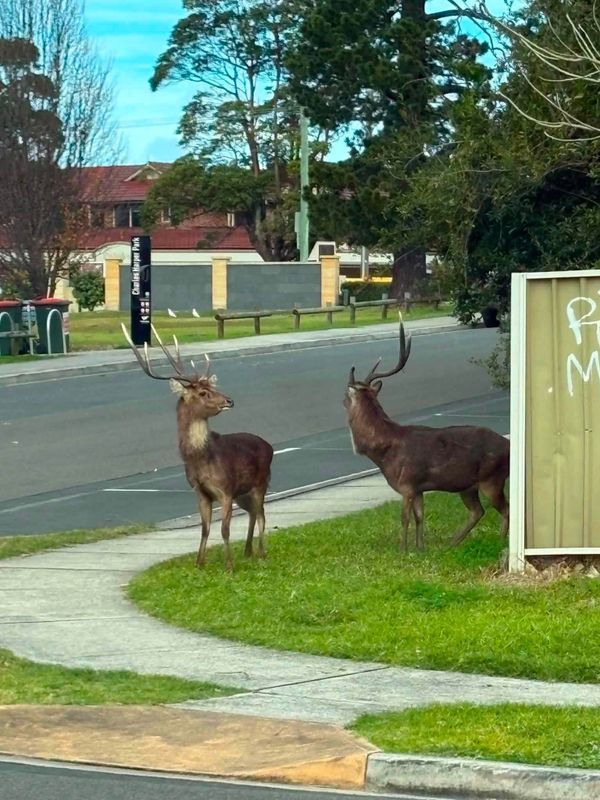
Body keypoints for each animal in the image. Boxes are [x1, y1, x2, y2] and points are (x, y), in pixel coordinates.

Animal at [122, 324, 273, 571]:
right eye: (203, 392)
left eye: (212, 386)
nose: (229, 401)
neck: (201, 459)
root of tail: (268, 445)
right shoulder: (200, 491)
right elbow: (205, 528)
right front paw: (199, 563)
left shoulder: (225, 489)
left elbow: (224, 529)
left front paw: (229, 566)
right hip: (244, 491)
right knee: (254, 512)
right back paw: (248, 551)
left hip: (261, 482)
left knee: (261, 514)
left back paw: (261, 553)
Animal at [344, 321, 509, 551]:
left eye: (346, 395)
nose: (343, 401)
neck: (384, 453)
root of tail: (509, 445)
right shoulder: (418, 488)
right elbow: (420, 516)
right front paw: (420, 548)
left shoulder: (407, 483)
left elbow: (404, 518)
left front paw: (402, 550)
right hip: (468, 486)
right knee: (478, 511)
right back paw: (452, 543)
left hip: (492, 477)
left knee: (505, 509)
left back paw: (500, 541)